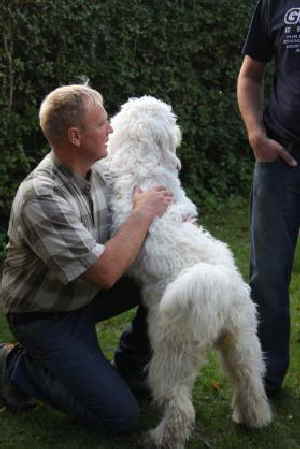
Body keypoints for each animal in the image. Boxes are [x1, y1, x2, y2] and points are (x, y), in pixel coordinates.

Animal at [97, 96, 270, 448]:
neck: (145, 159)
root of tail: (220, 289)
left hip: (171, 353)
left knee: (179, 406)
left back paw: (160, 437)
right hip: (242, 341)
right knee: (250, 382)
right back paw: (253, 419)